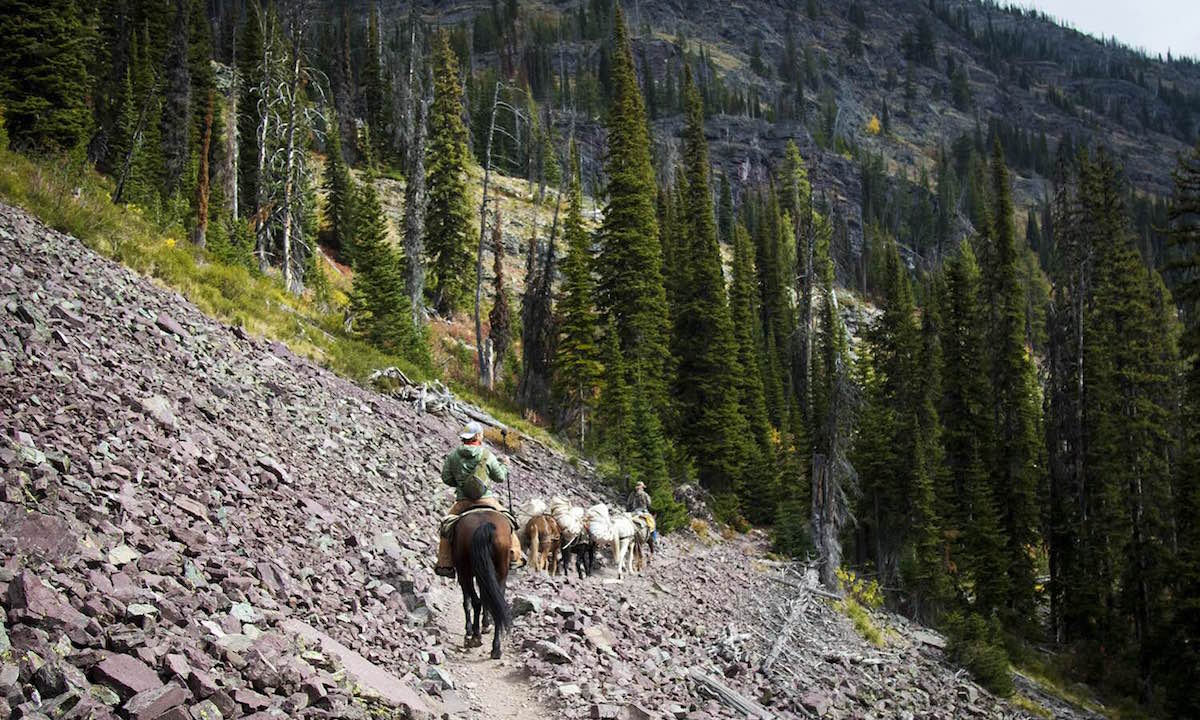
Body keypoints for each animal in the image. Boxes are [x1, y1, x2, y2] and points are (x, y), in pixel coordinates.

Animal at [448, 508, 508, 657]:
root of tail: (485, 525)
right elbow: (487, 598)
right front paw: (486, 624)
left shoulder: (464, 575)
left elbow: (467, 602)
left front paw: (469, 630)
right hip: (500, 573)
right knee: (497, 605)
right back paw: (496, 648)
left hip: (466, 573)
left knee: (476, 601)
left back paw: (474, 636)